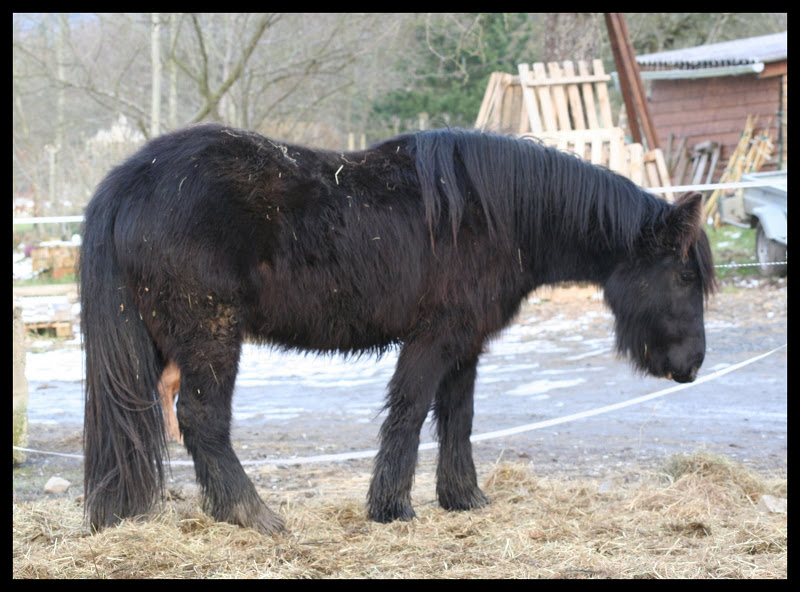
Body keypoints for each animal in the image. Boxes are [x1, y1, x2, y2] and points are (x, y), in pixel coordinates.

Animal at [81, 126, 716, 536]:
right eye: (684, 275)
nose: (692, 366)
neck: (497, 214)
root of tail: (130, 180)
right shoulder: (434, 338)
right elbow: (409, 411)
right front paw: (392, 508)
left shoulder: (465, 344)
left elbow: (457, 418)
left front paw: (463, 498)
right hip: (210, 334)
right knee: (201, 419)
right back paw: (253, 515)